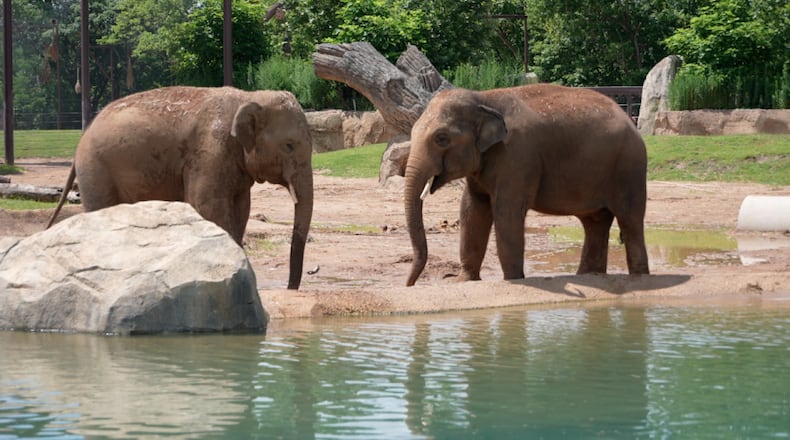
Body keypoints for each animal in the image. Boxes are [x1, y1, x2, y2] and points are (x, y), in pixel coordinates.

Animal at [48, 86, 313, 290]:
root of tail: (83, 137)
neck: (248, 96)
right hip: (95, 168)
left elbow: (241, 208)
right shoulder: (209, 152)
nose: (290, 288)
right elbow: (208, 206)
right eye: (289, 145)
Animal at [404, 84, 649, 286]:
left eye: (441, 138)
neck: (483, 98)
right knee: (595, 222)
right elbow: (472, 210)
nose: (410, 285)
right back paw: (590, 276)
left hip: (629, 169)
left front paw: (513, 280)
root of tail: (630, 121)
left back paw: (639, 278)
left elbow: (506, 213)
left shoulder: (517, 156)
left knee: (629, 221)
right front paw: (464, 281)